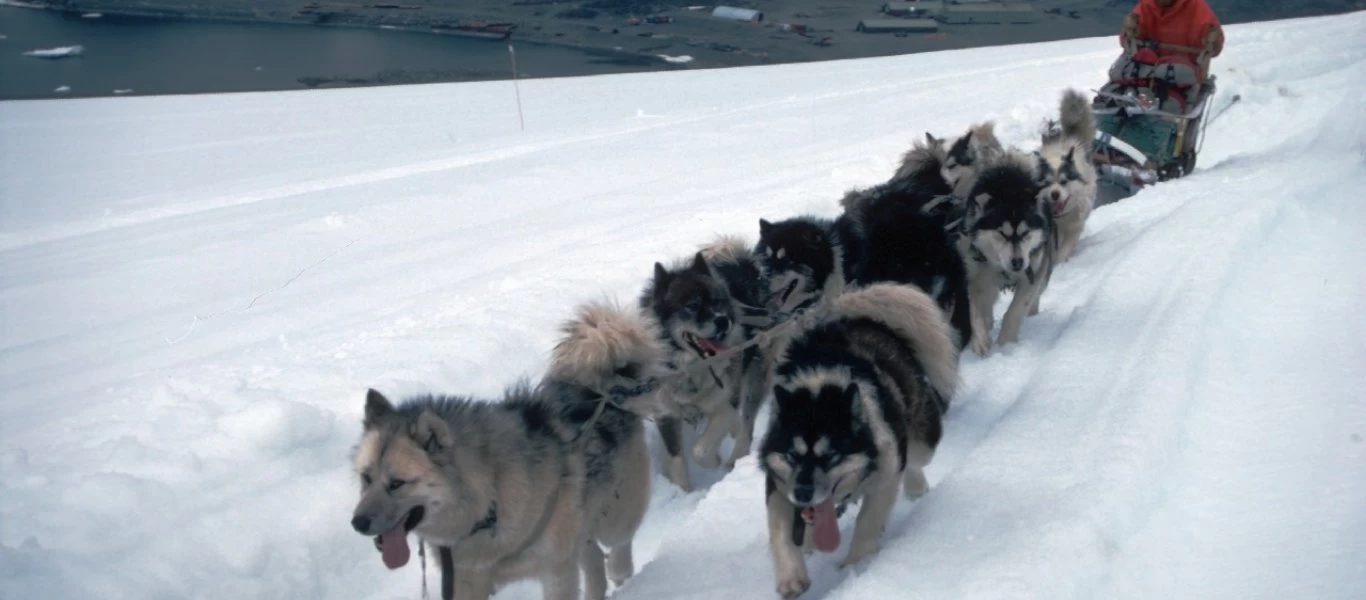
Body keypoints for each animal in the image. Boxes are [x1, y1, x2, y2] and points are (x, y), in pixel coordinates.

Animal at [349, 303, 652, 598]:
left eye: (397, 483)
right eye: (366, 478)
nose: (358, 523)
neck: (488, 500)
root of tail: (600, 390)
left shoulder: (556, 570)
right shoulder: (465, 579)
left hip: (615, 515)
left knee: (618, 543)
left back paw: (621, 569)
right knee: (593, 556)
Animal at [636, 237, 770, 492]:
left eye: (717, 301)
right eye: (692, 305)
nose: (723, 321)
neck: (691, 369)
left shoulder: (723, 404)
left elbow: (700, 449)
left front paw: (714, 460)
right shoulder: (666, 415)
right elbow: (677, 460)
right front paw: (683, 492)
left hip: (755, 374)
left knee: (746, 423)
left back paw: (735, 457)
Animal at [961, 151, 1054, 358]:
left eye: (1026, 233)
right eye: (1002, 233)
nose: (1017, 262)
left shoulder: (1032, 273)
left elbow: (1015, 310)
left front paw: (1006, 344)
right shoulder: (972, 274)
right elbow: (973, 310)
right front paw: (980, 339)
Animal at [1032, 88, 1098, 262]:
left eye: (1064, 182)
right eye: (1047, 183)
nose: (1054, 194)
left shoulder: (1074, 226)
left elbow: (1063, 250)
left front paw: (1060, 261)